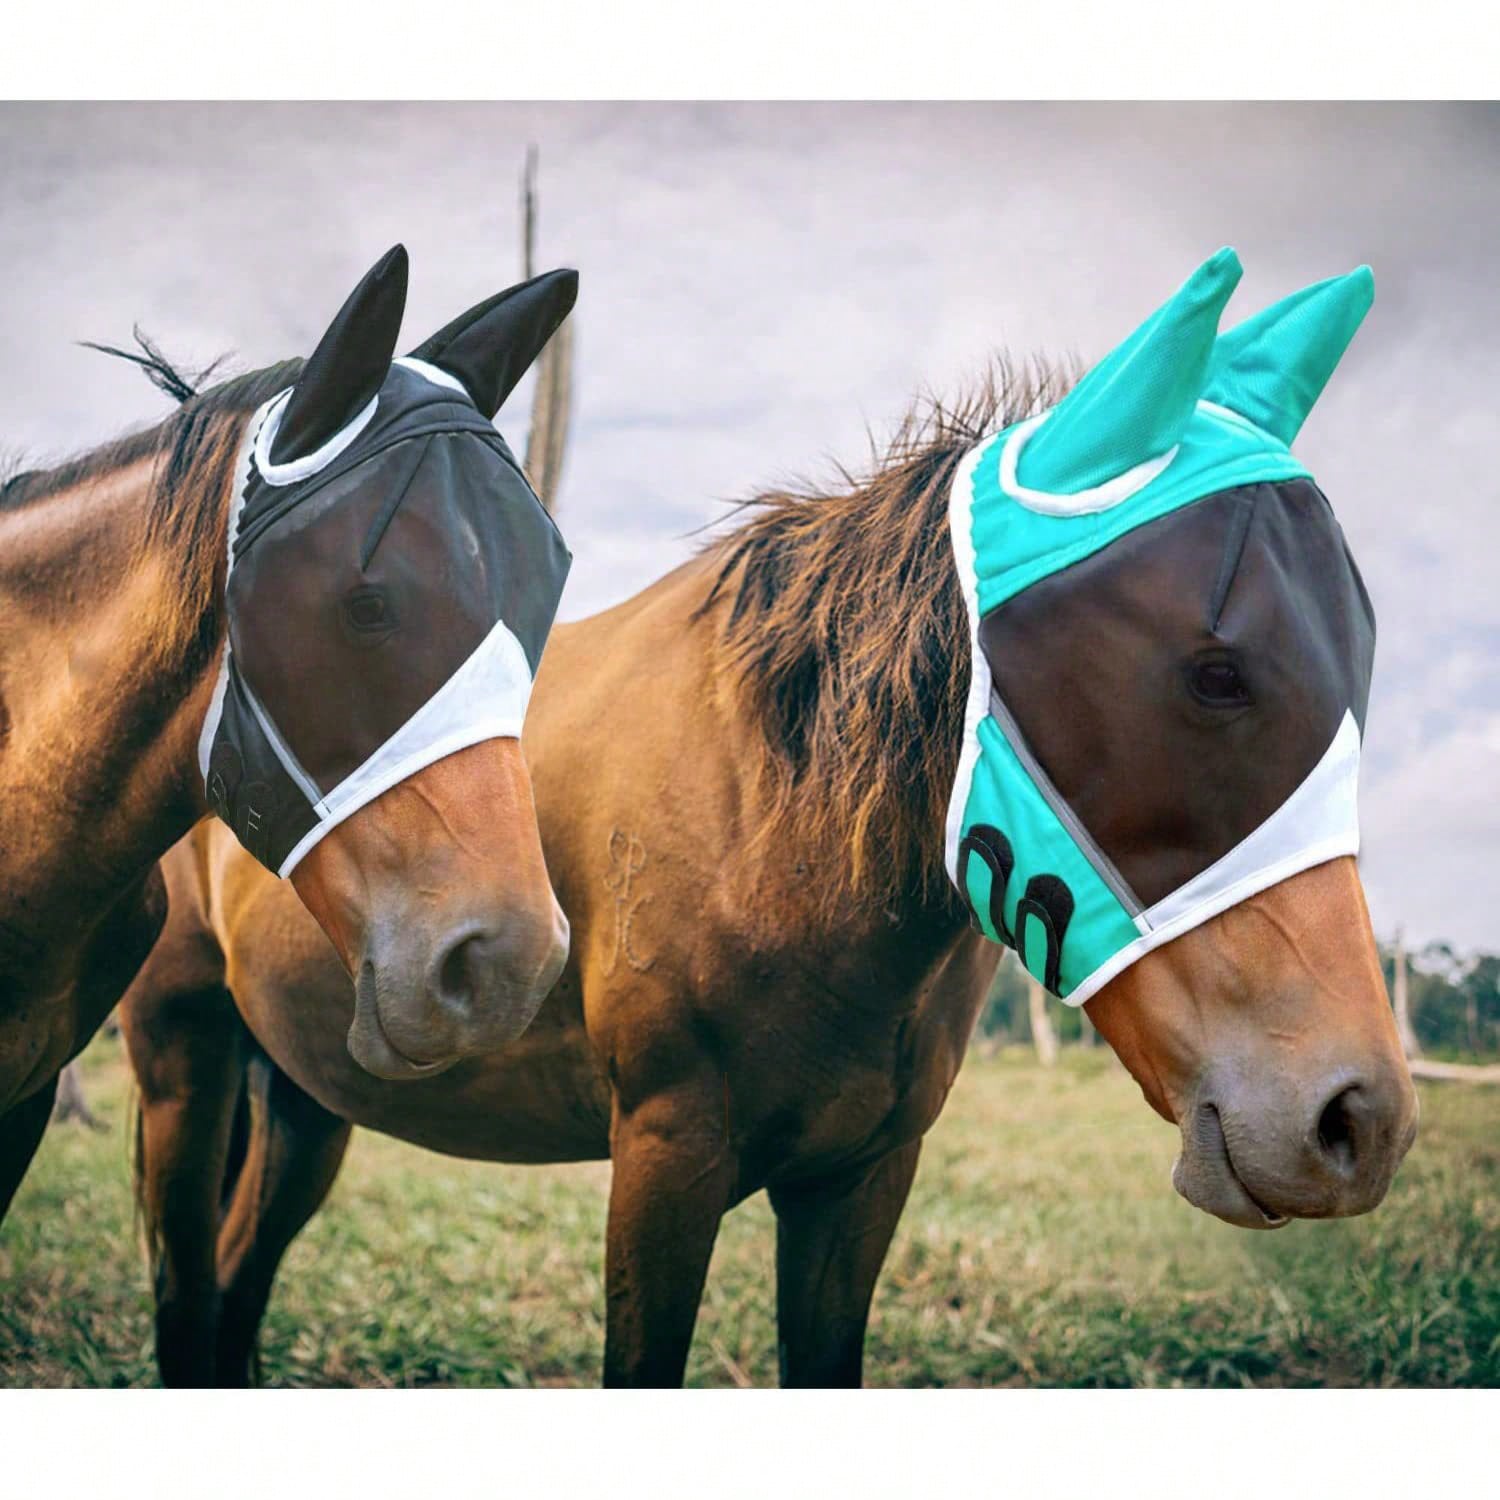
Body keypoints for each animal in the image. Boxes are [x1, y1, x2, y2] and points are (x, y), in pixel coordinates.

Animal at [121, 290, 1418, 1387]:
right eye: (1215, 673)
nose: (1357, 1120)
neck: (774, 825)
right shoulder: (667, 1155)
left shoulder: (860, 1183)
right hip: (186, 1056)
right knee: (189, 1296)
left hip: (307, 1096)